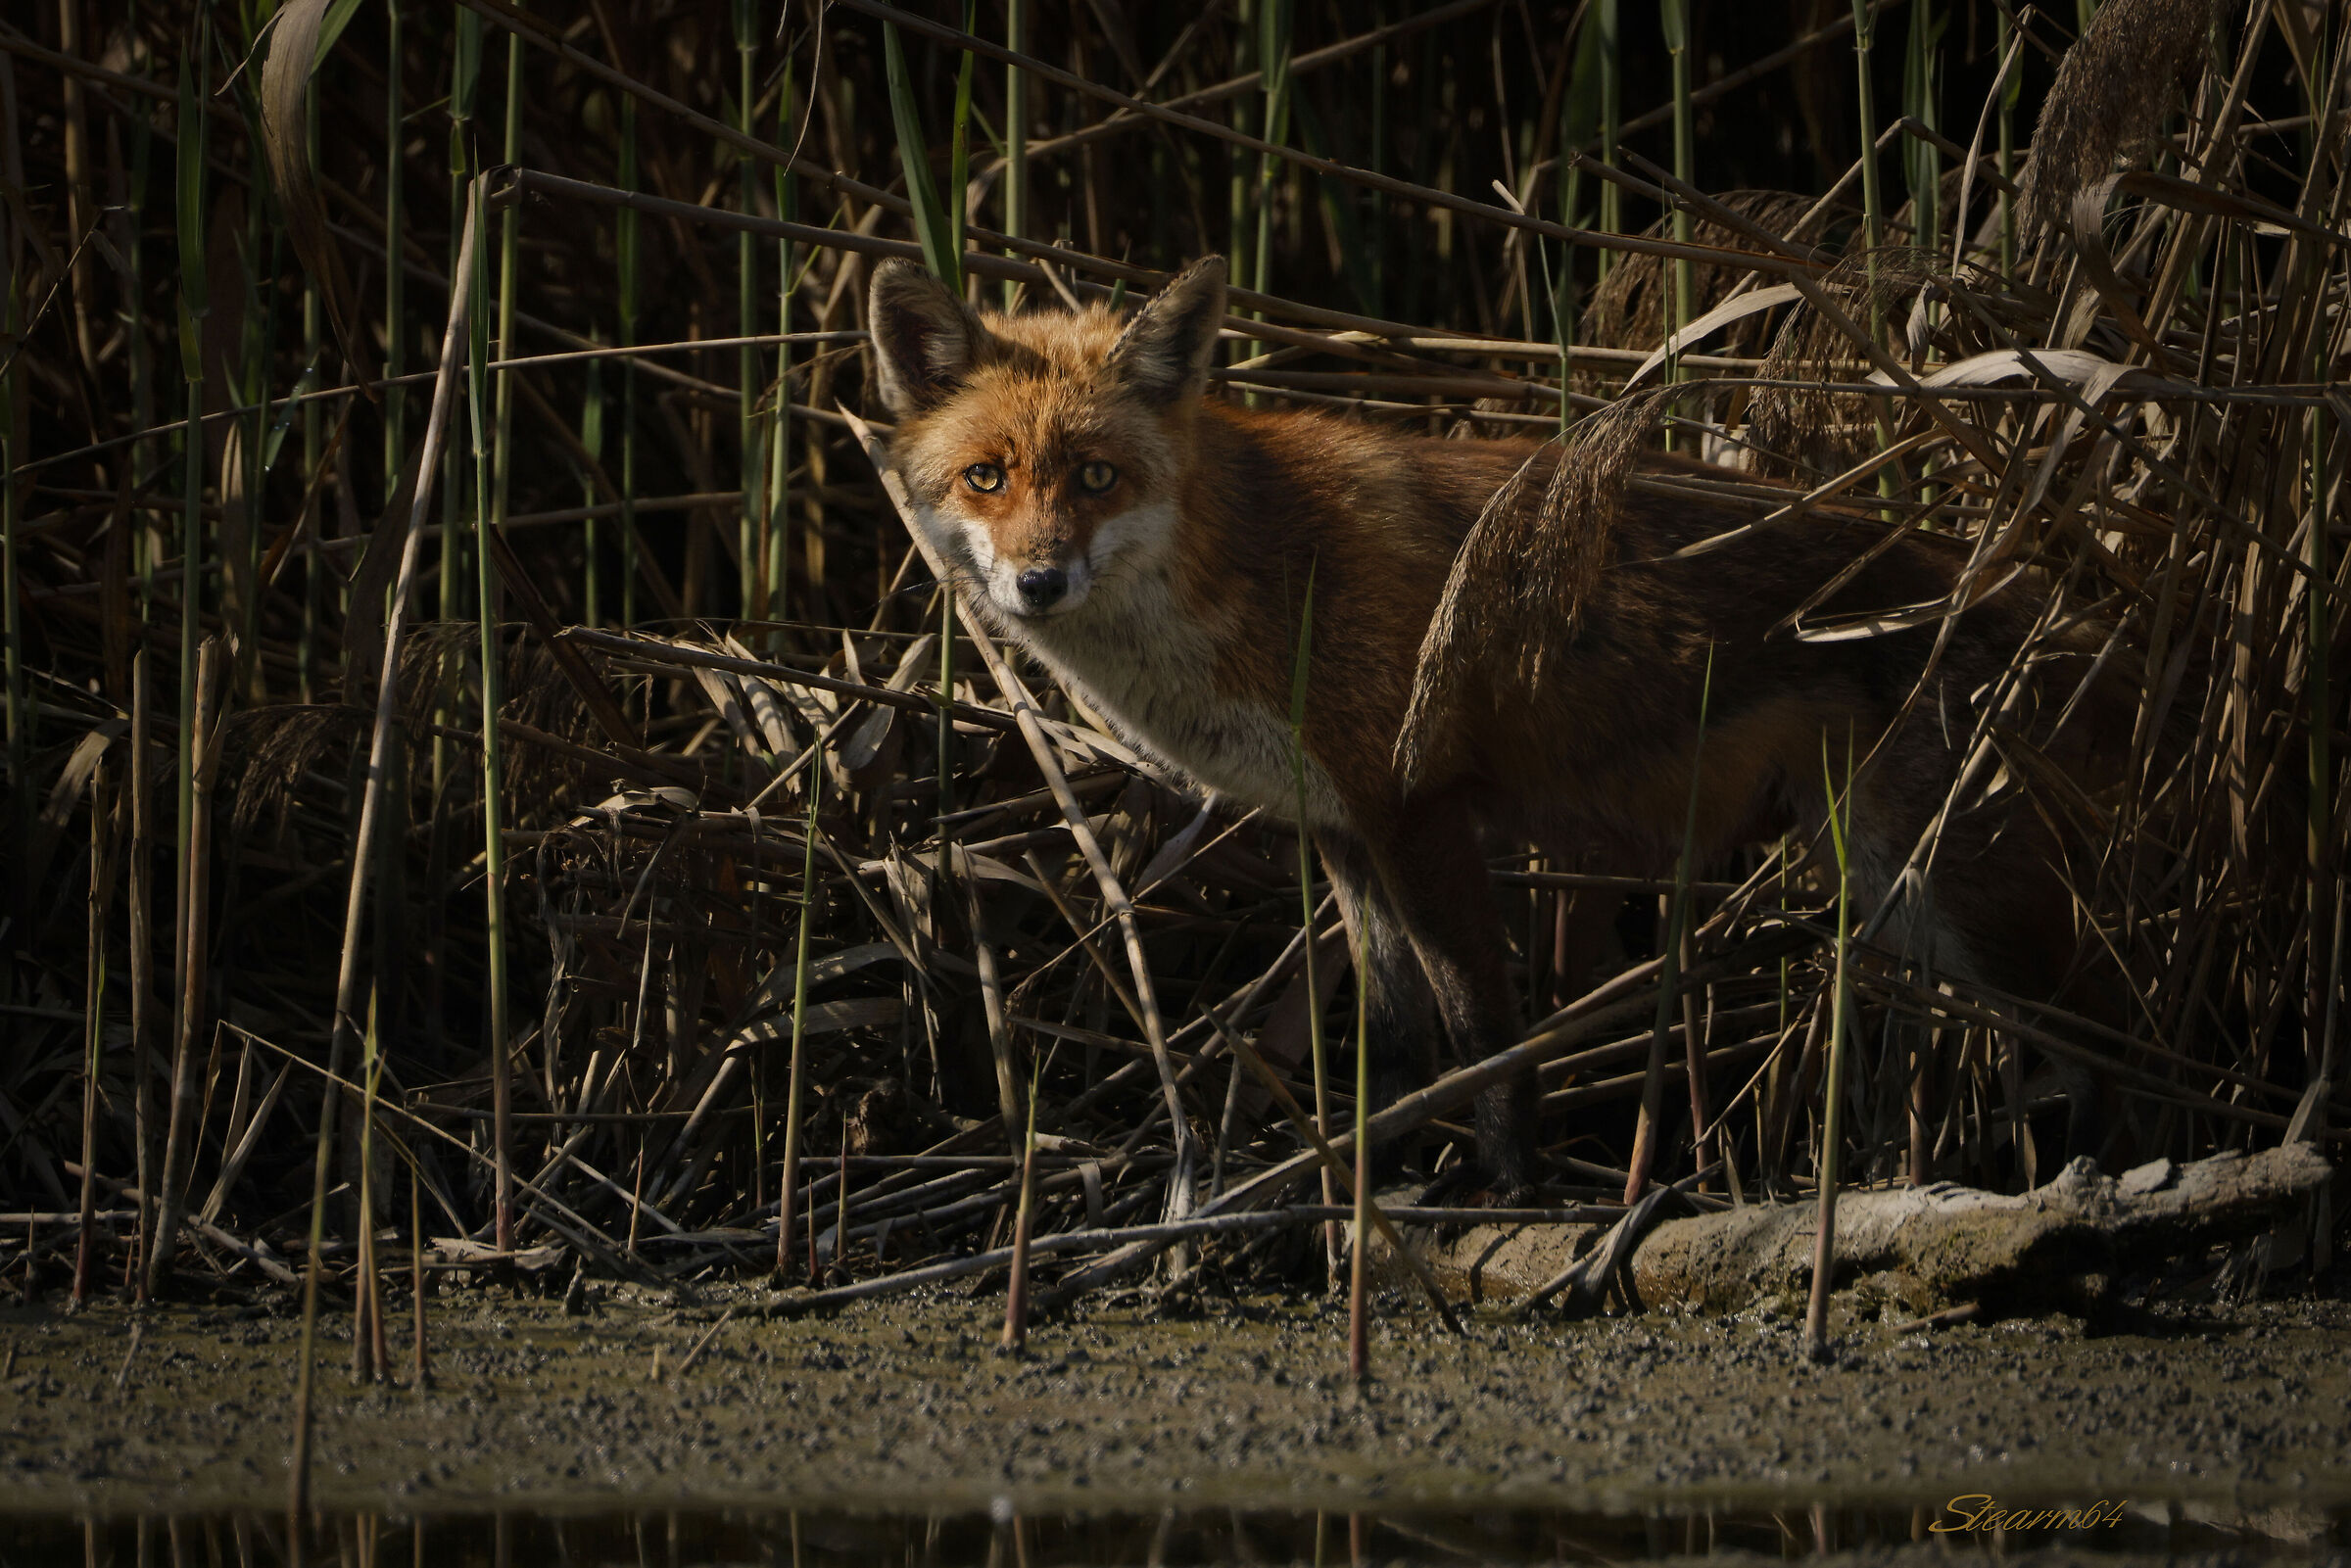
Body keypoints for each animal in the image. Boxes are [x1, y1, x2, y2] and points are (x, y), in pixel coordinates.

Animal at [866, 253, 2118, 1200]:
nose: (1038, 582)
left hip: (1934, 881)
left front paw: (1508, 1188)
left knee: (2105, 1026)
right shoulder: (1342, 827)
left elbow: (1484, 1032)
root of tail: (2028, 586)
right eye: (986, 476)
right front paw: (1373, 1187)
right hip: (1884, 875)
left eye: (1094, 476)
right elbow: (1395, 1038)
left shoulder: (1417, 807)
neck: (1249, 573)